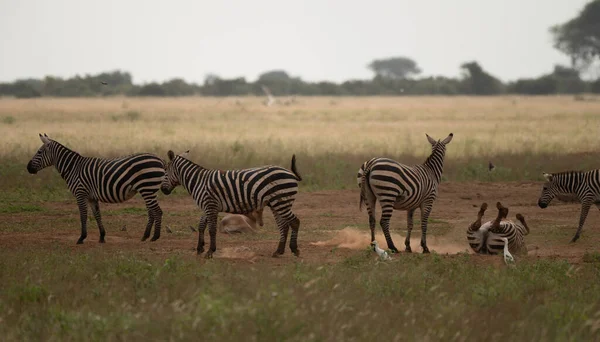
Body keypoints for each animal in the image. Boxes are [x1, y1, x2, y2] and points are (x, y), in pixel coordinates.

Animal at [26, 133, 166, 243]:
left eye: (39, 152)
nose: (28, 168)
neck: (73, 168)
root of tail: (159, 159)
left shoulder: (80, 193)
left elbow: (83, 215)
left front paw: (82, 237)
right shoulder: (91, 197)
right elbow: (97, 215)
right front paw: (102, 237)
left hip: (147, 188)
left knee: (157, 211)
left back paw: (155, 237)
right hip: (148, 190)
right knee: (152, 211)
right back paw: (145, 236)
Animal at [159, 150, 302, 260]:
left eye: (165, 171)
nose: (162, 190)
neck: (198, 181)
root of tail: (290, 172)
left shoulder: (211, 205)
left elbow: (211, 229)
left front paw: (210, 251)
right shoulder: (206, 206)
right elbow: (201, 226)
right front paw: (200, 248)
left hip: (281, 201)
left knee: (295, 222)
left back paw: (294, 249)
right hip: (276, 204)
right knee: (284, 225)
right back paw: (278, 251)